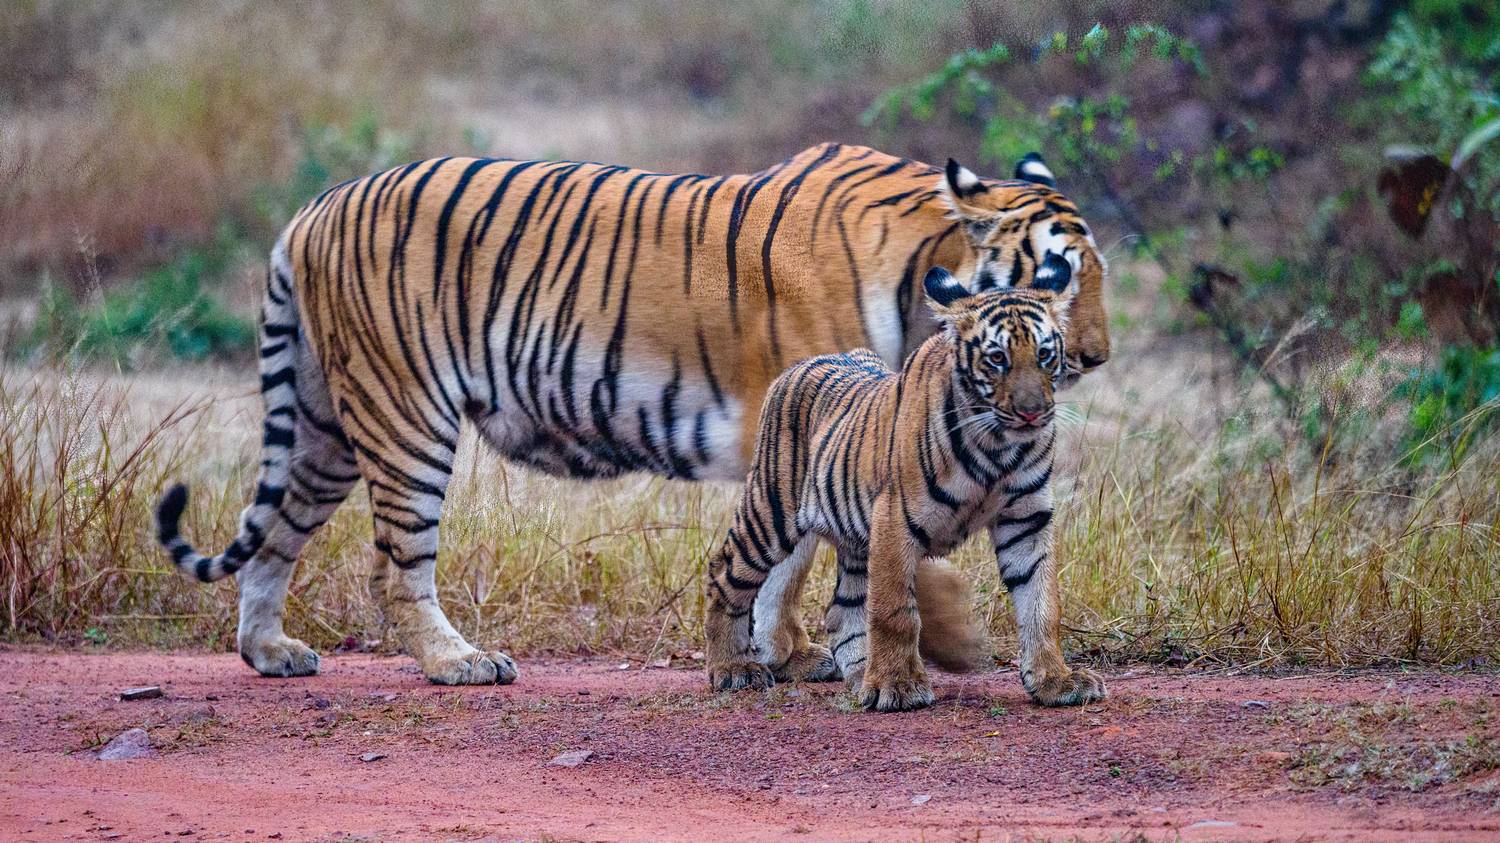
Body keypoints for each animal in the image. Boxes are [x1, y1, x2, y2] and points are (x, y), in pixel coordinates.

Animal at [705, 264, 1108, 712]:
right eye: (997, 358)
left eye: (1044, 355)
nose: (1032, 412)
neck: (999, 448)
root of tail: (801, 364)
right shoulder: (895, 517)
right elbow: (894, 609)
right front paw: (895, 685)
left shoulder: (1027, 519)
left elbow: (1042, 603)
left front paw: (1057, 681)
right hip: (771, 512)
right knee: (725, 575)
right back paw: (734, 669)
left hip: (850, 534)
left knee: (839, 609)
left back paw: (855, 672)